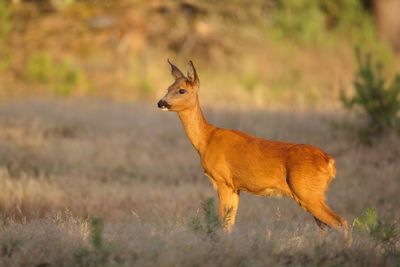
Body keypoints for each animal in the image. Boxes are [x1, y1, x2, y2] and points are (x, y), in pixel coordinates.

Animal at [156, 59, 346, 239]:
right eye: (168, 88)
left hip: (307, 192)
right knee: (325, 227)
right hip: (311, 194)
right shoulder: (236, 187)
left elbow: (223, 224)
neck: (206, 140)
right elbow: (229, 225)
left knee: (340, 222)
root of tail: (329, 161)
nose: (161, 102)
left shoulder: (222, 181)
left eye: (181, 90)